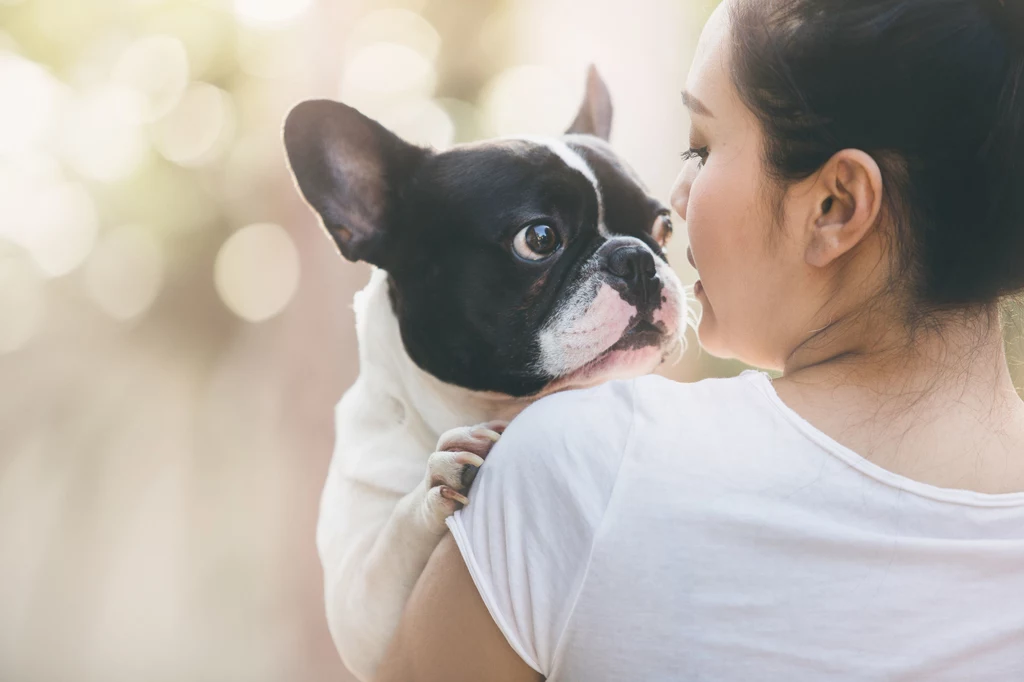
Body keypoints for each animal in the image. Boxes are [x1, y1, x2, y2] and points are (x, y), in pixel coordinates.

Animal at [284, 65, 692, 679]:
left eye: (662, 227)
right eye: (539, 239)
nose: (638, 258)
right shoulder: (363, 622)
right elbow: (387, 551)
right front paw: (436, 478)